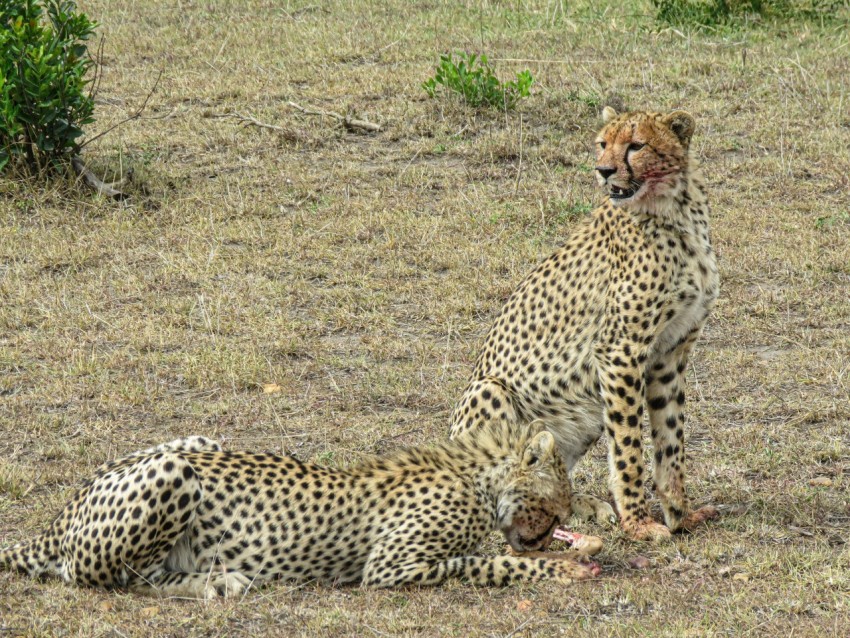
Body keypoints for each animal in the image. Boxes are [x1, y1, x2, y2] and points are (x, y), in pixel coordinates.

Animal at [1, 424, 596, 600]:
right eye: (556, 507)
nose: (550, 534)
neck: (479, 478)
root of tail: (64, 511)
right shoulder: (389, 569)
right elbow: (484, 563)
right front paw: (564, 566)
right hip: (174, 471)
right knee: (116, 577)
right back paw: (216, 583)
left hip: (198, 441)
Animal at [450, 107, 716, 544]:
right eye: (602, 143)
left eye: (636, 145)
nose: (603, 170)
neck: (673, 209)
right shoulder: (620, 351)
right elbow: (628, 445)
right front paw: (638, 522)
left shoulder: (670, 353)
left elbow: (670, 440)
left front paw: (681, 515)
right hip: (492, 391)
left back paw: (583, 507)